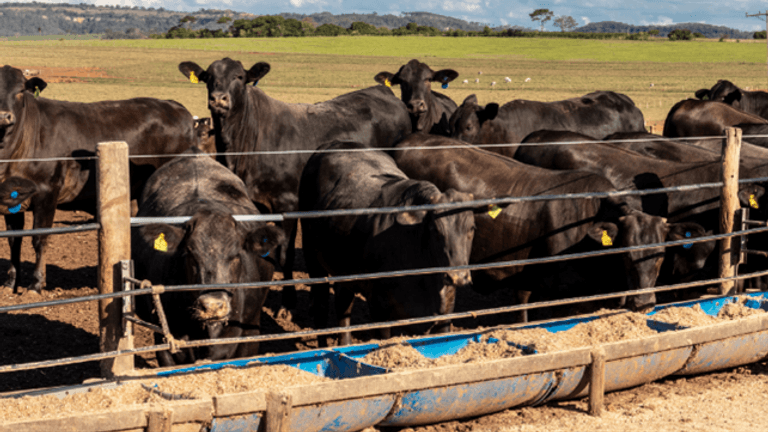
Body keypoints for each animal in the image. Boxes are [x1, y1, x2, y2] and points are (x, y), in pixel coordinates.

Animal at [0, 65, 199, 294]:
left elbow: (39, 239)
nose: (4, 116)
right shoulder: (12, 200)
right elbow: (14, 241)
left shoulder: (47, 193)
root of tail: (174, 106)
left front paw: (36, 283)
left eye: (20, 91)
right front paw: (11, 283)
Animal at [300, 141, 475, 345]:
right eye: (435, 229)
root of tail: (335, 143)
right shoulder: (379, 306)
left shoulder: (446, 309)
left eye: (472, 228)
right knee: (321, 304)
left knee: (343, 305)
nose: (458, 277)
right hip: (312, 257)